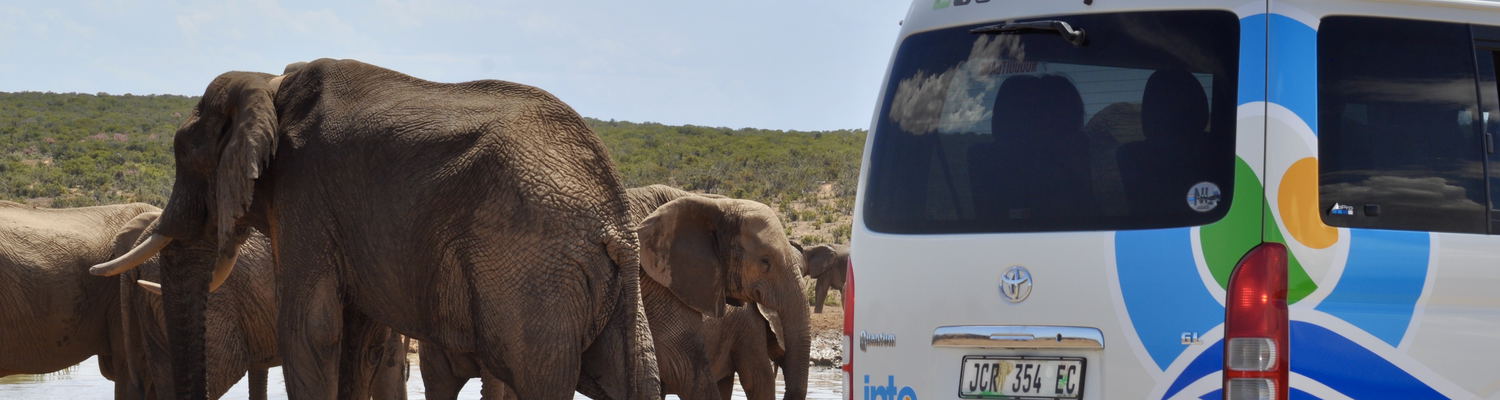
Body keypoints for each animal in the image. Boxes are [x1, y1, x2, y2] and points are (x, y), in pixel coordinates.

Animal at [90, 58, 659, 400]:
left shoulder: (306, 192)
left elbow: (309, 326)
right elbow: (353, 333)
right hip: (600, 286)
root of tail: (616, 217)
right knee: (629, 377)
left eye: (186, 154)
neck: (271, 86)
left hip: (529, 274)